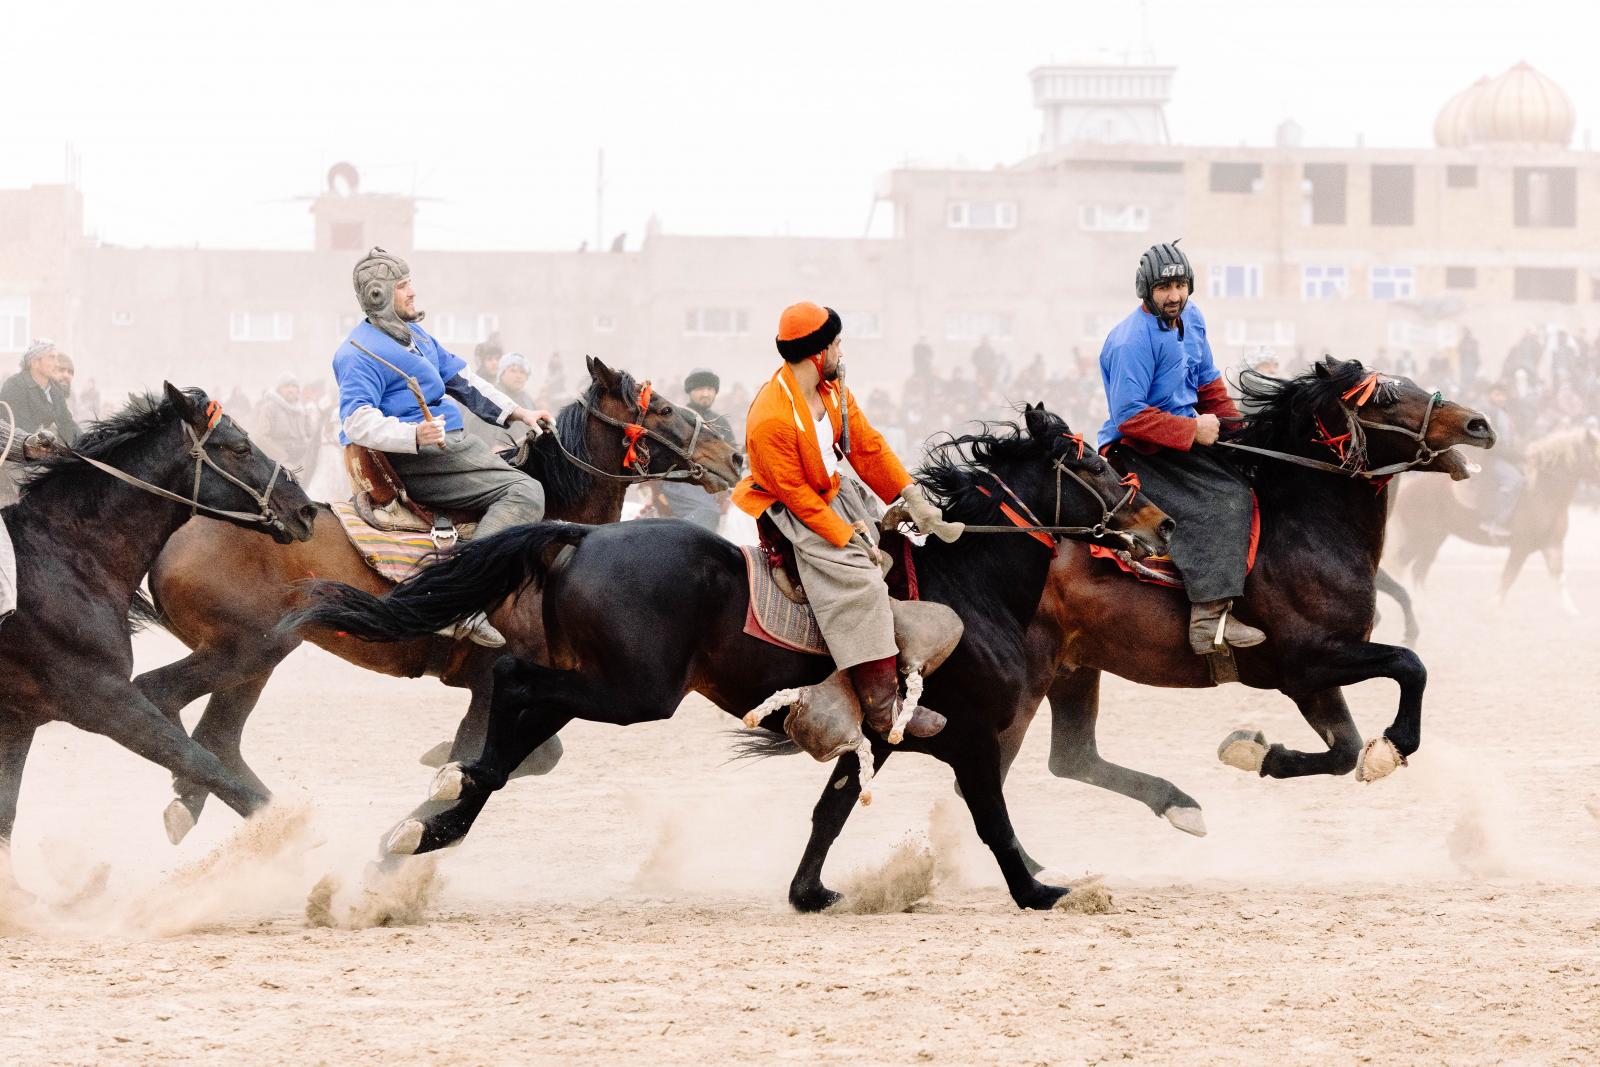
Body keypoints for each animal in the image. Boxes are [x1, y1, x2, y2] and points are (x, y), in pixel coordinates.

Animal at [0, 384, 317, 889]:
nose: (304, 509)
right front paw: (285, 833)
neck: (63, 558)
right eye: (239, 448)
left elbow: (5, 813)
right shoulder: (101, 700)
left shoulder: (18, 717)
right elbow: (196, 760)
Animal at [133, 357, 741, 845]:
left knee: (219, 738)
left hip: (253, 661)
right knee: (185, 716)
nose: (733, 456)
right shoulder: (493, 681)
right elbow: (503, 754)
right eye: (661, 407)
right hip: (248, 651)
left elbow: (528, 755)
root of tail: (178, 529)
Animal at [286, 405, 1176, 911]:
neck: (970, 585)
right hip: (631, 691)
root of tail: (581, 536)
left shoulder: (874, 736)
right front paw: (1039, 889)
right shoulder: (970, 739)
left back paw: (432, 821)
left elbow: (830, 810)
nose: (1160, 523)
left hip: (601, 686)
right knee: (510, 683)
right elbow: (992, 819)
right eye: (1092, 462)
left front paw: (808, 891)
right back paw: (439, 810)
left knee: (511, 731)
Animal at [978, 358, 1495, 861]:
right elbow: (1409, 664)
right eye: (1385, 399)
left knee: (1072, 758)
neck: (1303, 532)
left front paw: (1252, 751)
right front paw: (1391, 747)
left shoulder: (1314, 682)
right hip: (1029, 681)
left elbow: (1344, 750)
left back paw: (1176, 806)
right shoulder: (1310, 662)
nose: (1479, 423)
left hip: (1075, 669)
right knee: (990, 775)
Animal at [1389, 425, 1600, 616]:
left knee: (1418, 570)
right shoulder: (1521, 546)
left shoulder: (1553, 545)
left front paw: (1571, 610)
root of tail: (1406, 489)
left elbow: (1558, 577)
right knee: (1401, 565)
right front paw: (1492, 607)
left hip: (1434, 539)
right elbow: (1509, 576)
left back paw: (1425, 606)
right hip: (1421, 537)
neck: (1543, 491)